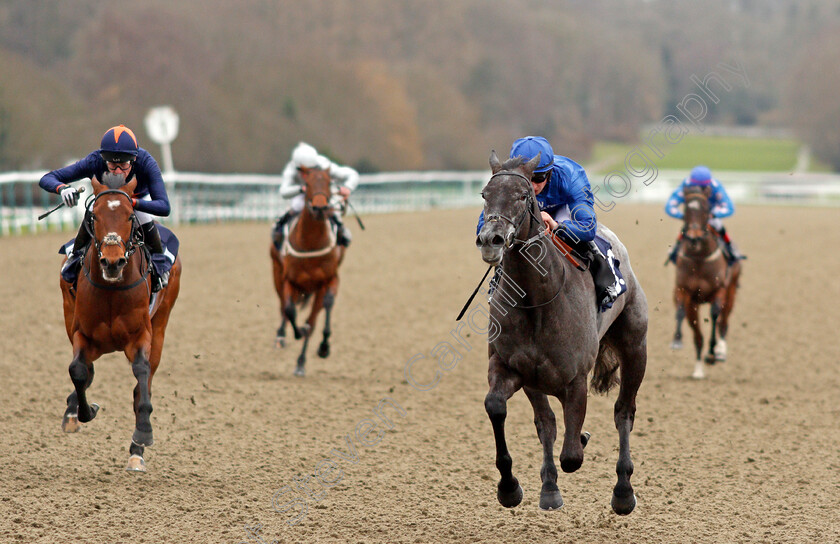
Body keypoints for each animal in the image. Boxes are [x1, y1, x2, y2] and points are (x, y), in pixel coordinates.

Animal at [60, 174, 182, 472]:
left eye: (129, 216)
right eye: (94, 216)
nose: (113, 262)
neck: (111, 289)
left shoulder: (141, 336)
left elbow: (142, 375)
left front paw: (143, 435)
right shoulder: (82, 333)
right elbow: (78, 370)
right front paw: (84, 411)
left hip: (161, 324)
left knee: (144, 382)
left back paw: (137, 450)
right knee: (85, 369)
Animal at [272, 166, 344, 376]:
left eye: (329, 182)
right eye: (308, 184)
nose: (319, 208)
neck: (311, 242)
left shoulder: (330, 279)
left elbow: (322, 310)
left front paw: (323, 347)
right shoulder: (289, 280)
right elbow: (289, 310)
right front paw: (295, 332)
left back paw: (301, 361)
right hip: (276, 273)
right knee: (283, 306)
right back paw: (280, 337)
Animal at [472, 152, 648, 516]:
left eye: (523, 195)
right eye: (485, 194)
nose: (490, 239)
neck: (535, 300)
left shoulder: (575, 379)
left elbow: (572, 456)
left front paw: (580, 441)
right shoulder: (510, 367)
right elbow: (498, 406)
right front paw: (510, 487)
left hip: (636, 348)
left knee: (623, 412)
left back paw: (623, 491)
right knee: (547, 423)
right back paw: (550, 488)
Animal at [668, 185, 740, 380]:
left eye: (706, 208)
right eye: (686, 208)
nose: (693, 237)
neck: (699, 257)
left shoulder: (719, 290)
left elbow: (715, 315)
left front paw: (713, 352)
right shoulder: (684, 291)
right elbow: (680, 313)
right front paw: (677, 340)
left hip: (731, 292)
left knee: (724, 322)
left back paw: (720, 351)